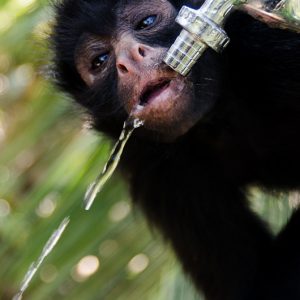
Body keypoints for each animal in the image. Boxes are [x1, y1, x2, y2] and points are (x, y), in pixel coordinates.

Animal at [52, 0, 300, 298]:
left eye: (146, 23)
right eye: (100, 61)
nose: (129, 60)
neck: (220, 116)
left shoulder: (269, 50)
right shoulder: (150, 164)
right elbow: (250, 283)